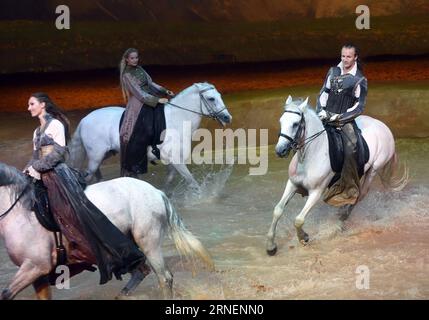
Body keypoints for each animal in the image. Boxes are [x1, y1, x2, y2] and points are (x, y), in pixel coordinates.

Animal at [0, 162, 213, 300]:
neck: (22, 210)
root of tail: (157, 192)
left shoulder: (36, 266)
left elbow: (6, 293)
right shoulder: (39, 274)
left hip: (148, 242)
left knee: (164, 278)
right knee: (141, 272)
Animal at [264, 95, 408, 255]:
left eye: (296, 124)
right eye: (281, 121)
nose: (280, 150)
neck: (311, 154)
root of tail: (385, 127)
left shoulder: (316, 192)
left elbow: (299, 220)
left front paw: (304, 237)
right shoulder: (292, 184)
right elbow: (278, 210)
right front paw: (271, 246)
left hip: (373, 170)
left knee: (360, 195)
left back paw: (341, 220)